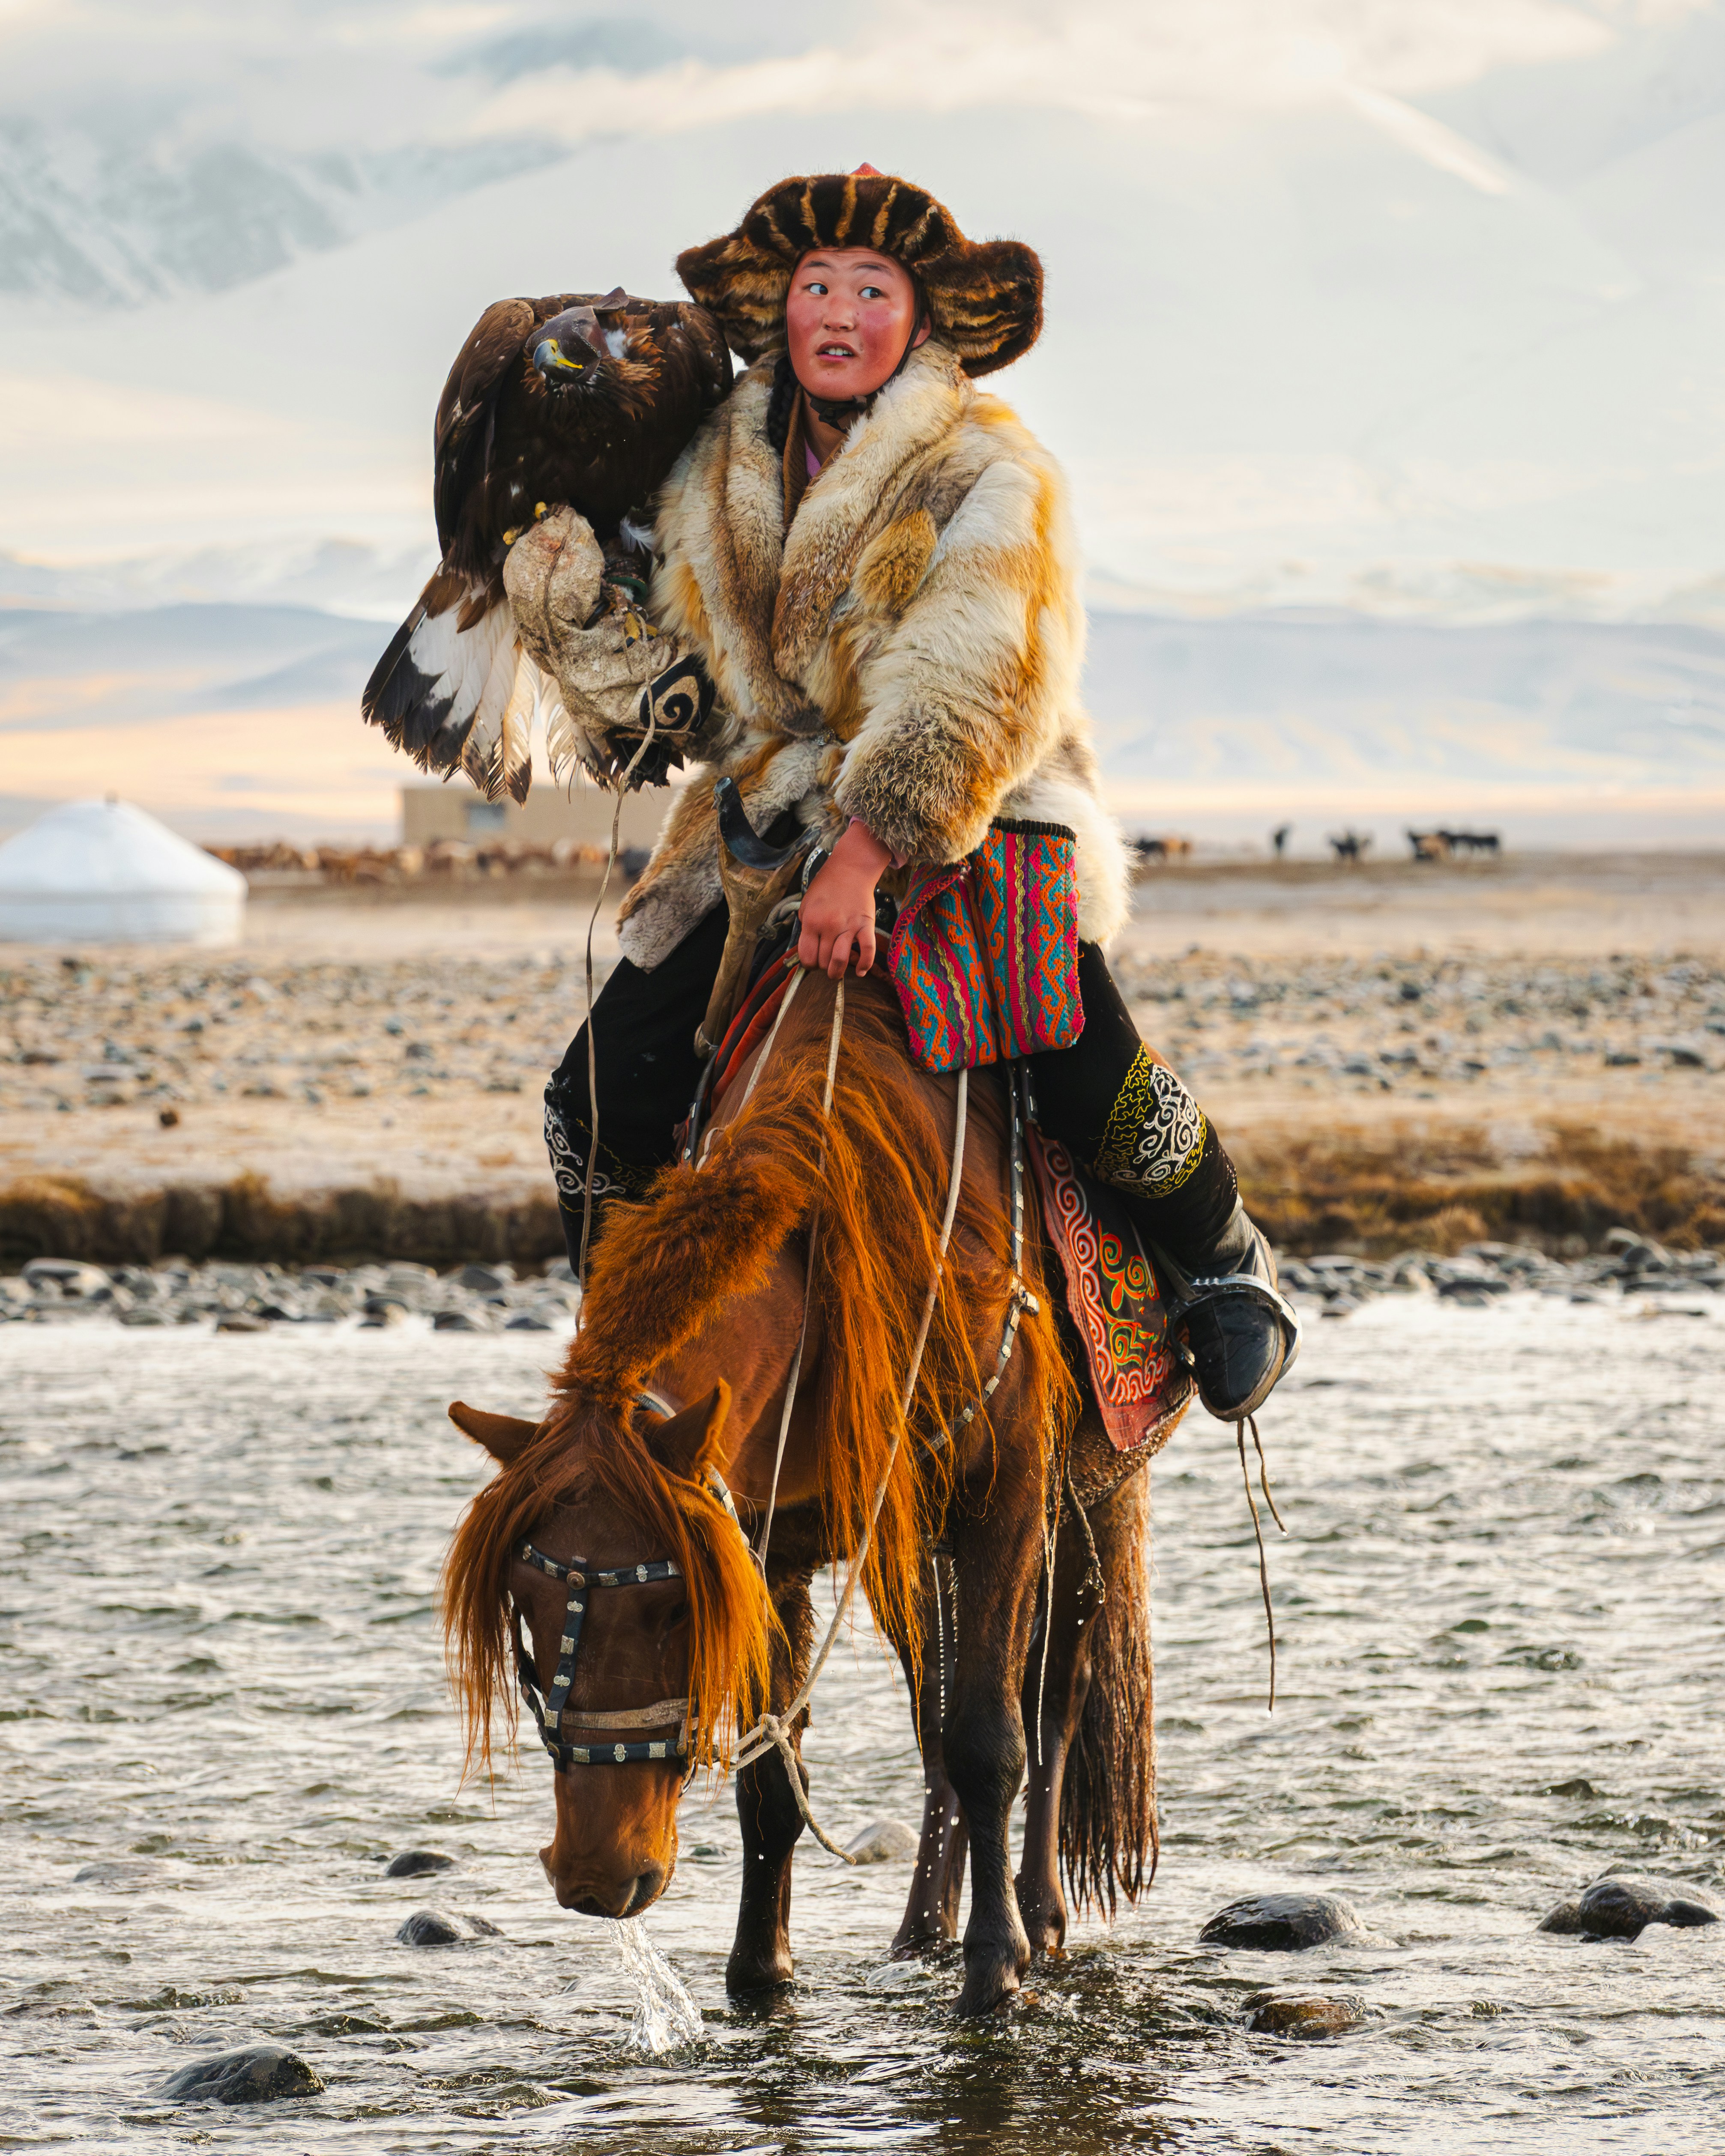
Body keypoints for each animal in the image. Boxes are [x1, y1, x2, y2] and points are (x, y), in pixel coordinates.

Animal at [440, 968, 1163, 2015]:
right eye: (526, 1604)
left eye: (671, 1609)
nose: (595, 1876)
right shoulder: (767, 1541)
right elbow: (777, 1776)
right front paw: (761, 1971)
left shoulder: (1007, 1494)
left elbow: (992, 1737)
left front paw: (998, 1964)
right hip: (910, 1550)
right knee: (932, 1715)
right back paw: (920, 1929)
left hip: (1089, 1495)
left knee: (1051, 1692)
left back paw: (1041, 1914)